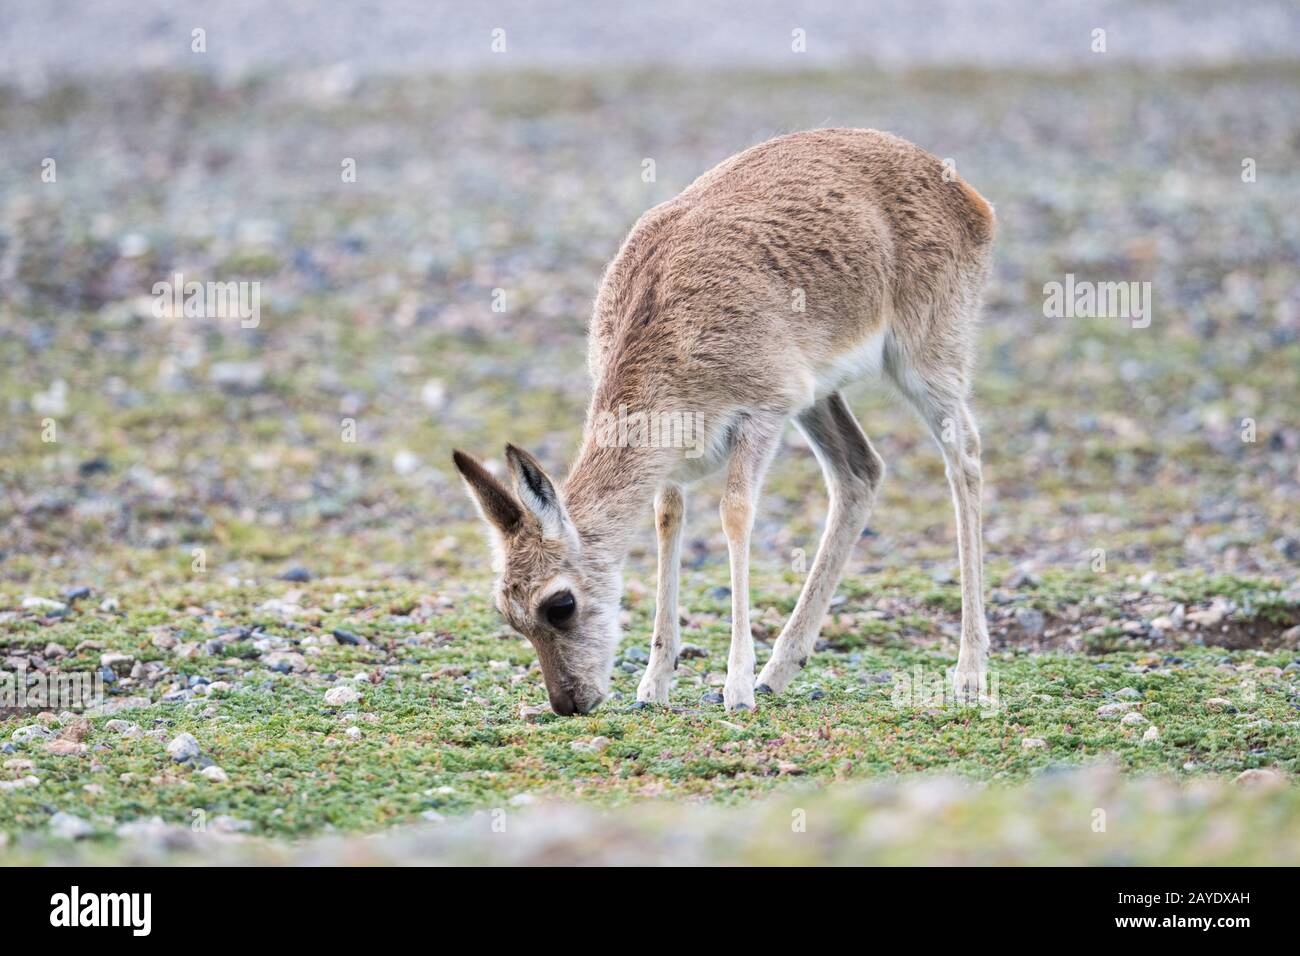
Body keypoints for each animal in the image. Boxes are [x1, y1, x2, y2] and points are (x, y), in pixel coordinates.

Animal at [453, 128, 995, 714]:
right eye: (508, 614)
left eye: (559, 604)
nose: (569, 702)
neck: (666, 325)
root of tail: (964, 192)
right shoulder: (673, 460)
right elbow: (668, 520)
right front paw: (655, 682)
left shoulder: (760, 418)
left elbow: (735, 514)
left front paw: (735, 685)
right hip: (819, 400)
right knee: (860, 472)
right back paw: (781, 669)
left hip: (925, 365)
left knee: (964, 457)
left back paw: (969, 673)